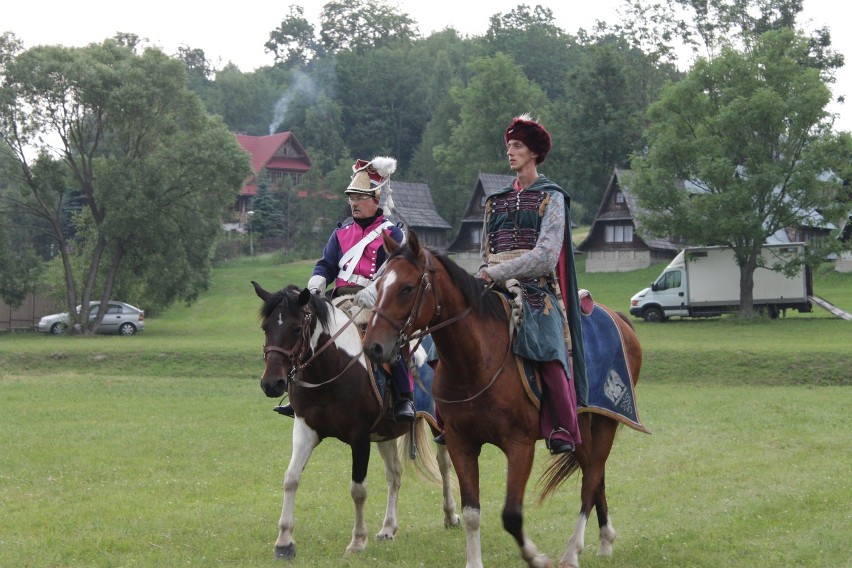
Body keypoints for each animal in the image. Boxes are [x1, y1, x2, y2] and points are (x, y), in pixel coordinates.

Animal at [251, 280, 460, 560]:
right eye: (266, 327)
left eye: (295, 329)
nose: (272, 384)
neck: (332, 366)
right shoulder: (305, 429)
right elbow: (291, 478)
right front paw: (284, 541)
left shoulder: (359, 437)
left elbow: (358, 489)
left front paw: (358, 541)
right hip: (385, 433)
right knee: (394, 474)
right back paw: (388, 528)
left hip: (437, 423)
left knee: (444, 464)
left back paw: (450, 515)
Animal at [360, 232, 644, 568]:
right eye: (378, 285)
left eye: (406, 288)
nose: (373, 347)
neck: (476, 361)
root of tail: (618, 318)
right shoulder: (461, 443)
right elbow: (471, 513)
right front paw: (474, 562)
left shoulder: (519, 445)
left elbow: (510, 515)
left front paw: (536, 558)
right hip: (582, 428)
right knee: (594, 475)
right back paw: (604, 540)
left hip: (604, 422)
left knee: (591, 480)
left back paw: (572, 551)